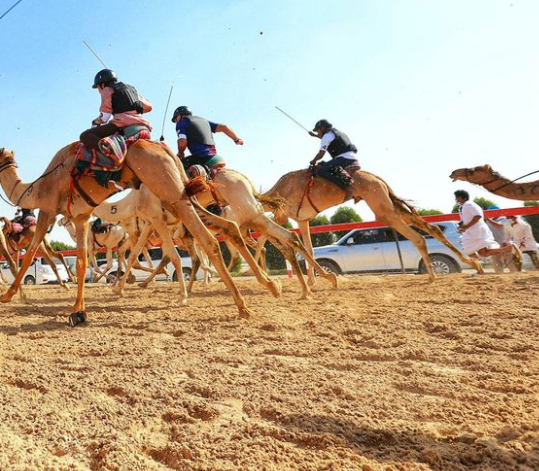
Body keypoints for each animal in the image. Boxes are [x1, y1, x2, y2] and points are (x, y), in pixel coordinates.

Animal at [0, 141, 270, 324]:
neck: (34, 188)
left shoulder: (48, 210)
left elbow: (32, 254)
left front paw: (10, 295)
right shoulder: (81, 216)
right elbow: (83, 261)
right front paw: (80, 306)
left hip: (171, 192)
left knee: (210, 241)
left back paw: (242, 305)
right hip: (183, 197)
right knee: (228, 230)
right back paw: (267, 286)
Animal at [260, 169, 484, 284]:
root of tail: (378, 178)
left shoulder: (283, 214)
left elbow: (264, 237)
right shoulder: (302, 219)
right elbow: (308, 247)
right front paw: (315, 281)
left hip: (380, 205)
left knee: (417, 236)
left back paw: (433, 274)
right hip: (387, 202)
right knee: (430, 228)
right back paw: (474, 265)